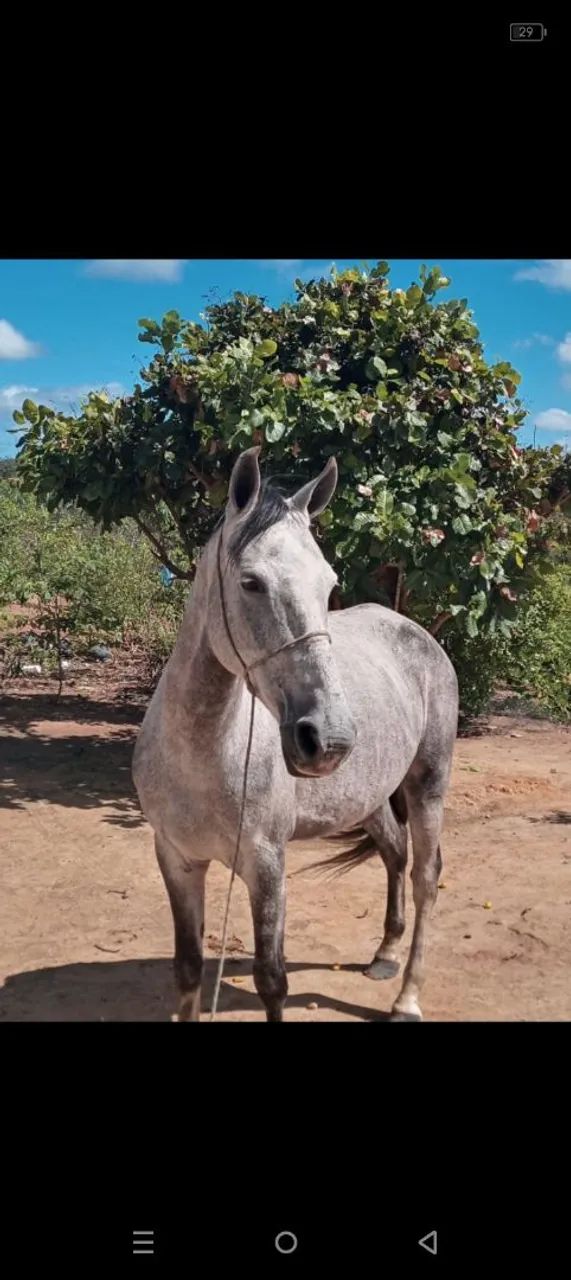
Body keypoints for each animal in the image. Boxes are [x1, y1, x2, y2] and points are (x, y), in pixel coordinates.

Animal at [133, 446, 459, 1022]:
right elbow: (188, 967)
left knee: (425, 876)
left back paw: (407, 997)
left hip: (428, 787)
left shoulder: (266, 866)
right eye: (251, 582)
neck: (201, 756)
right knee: (394, 854)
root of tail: (416, 631)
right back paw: (385, 955)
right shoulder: (176, 859)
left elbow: (272, 980)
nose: (327, 738)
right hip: (369, 796)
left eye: (328, 585)